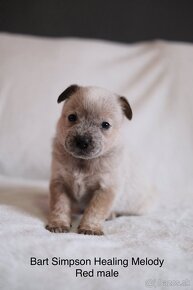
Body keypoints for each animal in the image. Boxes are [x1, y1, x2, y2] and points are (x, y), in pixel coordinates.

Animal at [46, 85, 153, 234]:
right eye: (72, 117)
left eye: (105, 125)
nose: (82, 141)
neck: (83, 162)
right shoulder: (59, 183)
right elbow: (59, 206)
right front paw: (58, 223)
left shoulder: (106, 189)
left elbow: (95, 211)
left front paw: (89, 227)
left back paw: (111, 214)